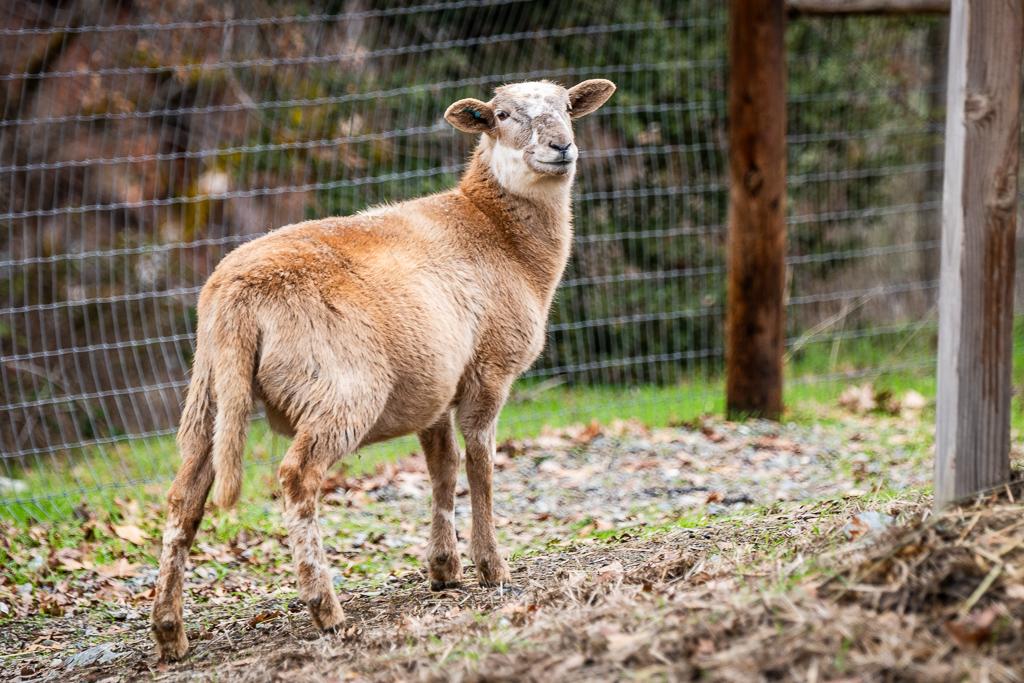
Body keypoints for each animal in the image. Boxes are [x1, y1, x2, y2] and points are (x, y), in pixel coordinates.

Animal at [150, 78, 616, 661]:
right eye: (503, 116)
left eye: (567, 108)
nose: (561, 147)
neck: (499, 235)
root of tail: (236, 295)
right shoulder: (489, 369)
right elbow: (480, 465)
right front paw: (491, 567)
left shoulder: (435, 385)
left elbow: (442, 469)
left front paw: (444, 569)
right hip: (342, 386)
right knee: (297, 477)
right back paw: (326, 610)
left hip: (209, 391)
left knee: (184, 497)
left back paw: (170, 632)